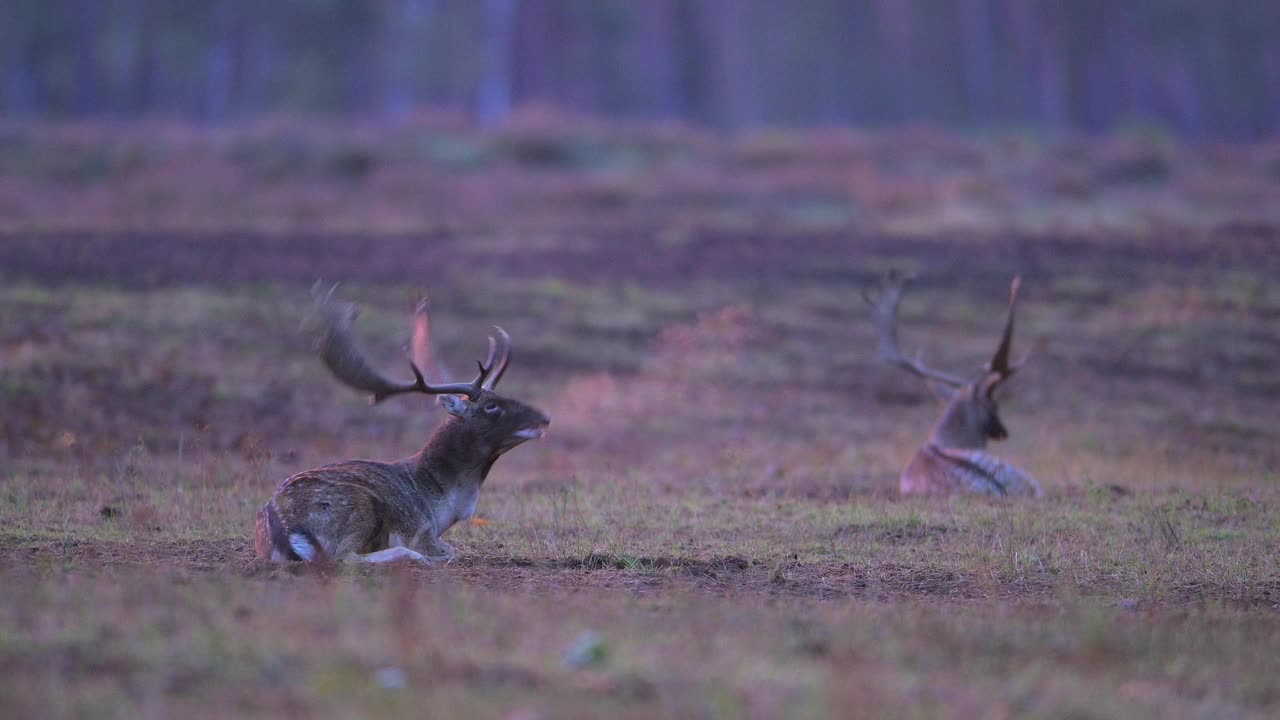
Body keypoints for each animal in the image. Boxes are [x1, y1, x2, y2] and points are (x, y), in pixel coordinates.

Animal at [252, 283, 547, 563]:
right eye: (491, 406)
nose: (545, 417)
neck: (443, 503)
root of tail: (283, 529)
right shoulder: (418, 529)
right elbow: (451, 550)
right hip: (360, 506)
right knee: (344, 557)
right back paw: (413, 557)